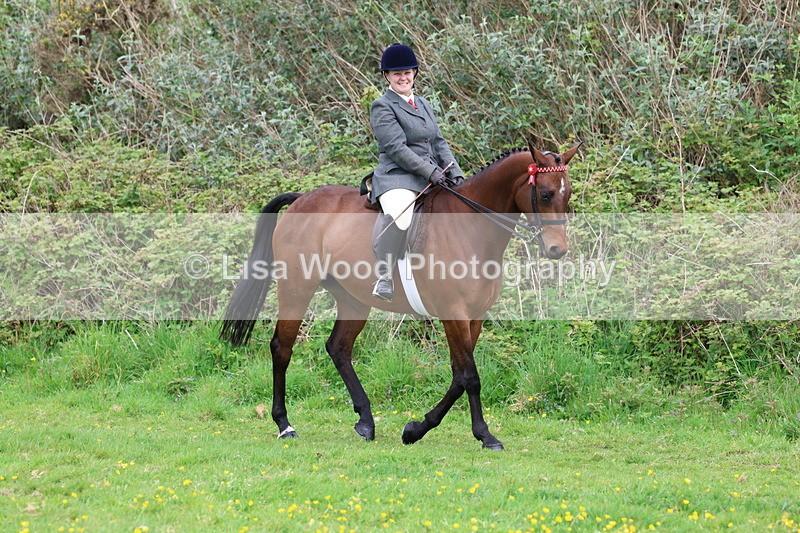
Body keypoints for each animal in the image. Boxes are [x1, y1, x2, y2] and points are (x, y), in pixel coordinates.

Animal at [220, 140, 580, 450]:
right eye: (545, 194)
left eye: (568, 195)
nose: (557, 250)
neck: (471, 228)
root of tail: (302, 198)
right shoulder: (453, 312)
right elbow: (469, 376)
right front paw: (485, 435)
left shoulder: (474, 316)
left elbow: (458, 376)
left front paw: (416, 429)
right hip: (297, 287)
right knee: (282, 347)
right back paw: (285, 425)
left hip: (353, 299)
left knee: (338, 348)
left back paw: (365, 422)